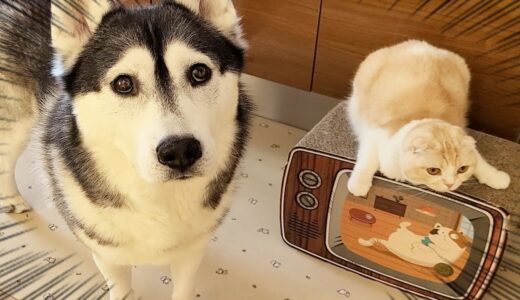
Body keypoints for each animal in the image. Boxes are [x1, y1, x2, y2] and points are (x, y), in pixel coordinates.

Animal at [0, 1, 252, 298]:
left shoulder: (192, 252)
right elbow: (120, 288)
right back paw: (12, 199)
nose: (180, 151)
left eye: (199, 72)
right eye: (123, 83)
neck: (158, 197)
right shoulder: (107, 256)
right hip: (17, 118)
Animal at [348, 39, 510, 197]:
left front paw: (497, 178)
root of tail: (421, 45)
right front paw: (358, 185)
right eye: (433, 171)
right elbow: (367, 161)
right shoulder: (374, 134)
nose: (450, 184)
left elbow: (480, 162)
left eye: (462, 169)